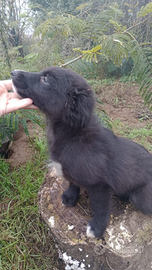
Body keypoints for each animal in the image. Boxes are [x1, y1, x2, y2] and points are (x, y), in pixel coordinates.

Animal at [11, 67, 152, 238]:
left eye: (46, 79)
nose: (13, 72)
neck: (73, 135)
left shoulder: (100, 186)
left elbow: (100, 209)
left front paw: (97, 228)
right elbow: (72, 182)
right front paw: (70, 196)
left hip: (141, 199)